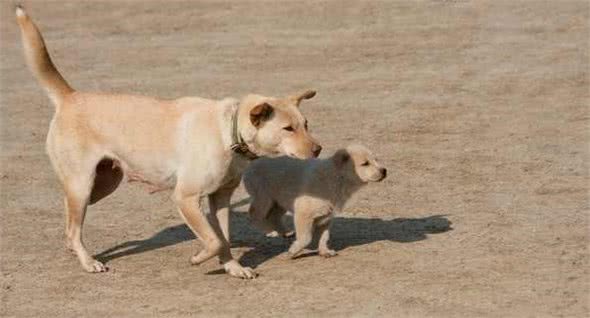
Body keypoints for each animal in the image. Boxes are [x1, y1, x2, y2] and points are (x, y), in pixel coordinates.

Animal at [16, 5, 324, 278]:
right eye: (288, 129)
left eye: (305, 125)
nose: (318, 149)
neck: (228, 130)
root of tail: (70, 96)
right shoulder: (185, 198)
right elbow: (213, 240)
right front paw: (199, 257)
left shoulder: (220, 199)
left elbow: (222, 238)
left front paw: (233, 268)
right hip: (83, 185)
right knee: (73, 227)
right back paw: (88, 261)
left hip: (100, 186)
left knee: (69, 219)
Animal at [243, 145, 386, 260]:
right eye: (365, 163)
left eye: (376, 160)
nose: (384, 171)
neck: (336, 177)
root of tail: (254, 161)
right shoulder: (303, 214)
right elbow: (306, 238)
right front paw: (292, 252)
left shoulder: (326, 217)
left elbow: (324, 237)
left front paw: (324, 251)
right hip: (264, 198)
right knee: (254, 215)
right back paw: (270, 230)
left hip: (279, 200)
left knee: (274, 216)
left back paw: (284, 232)